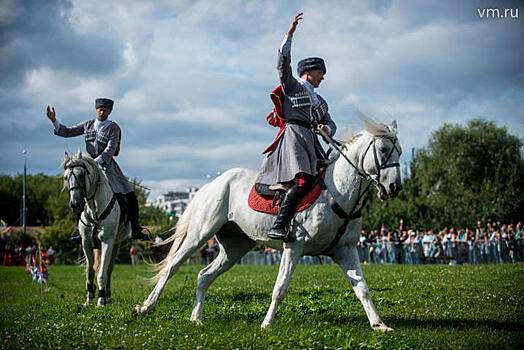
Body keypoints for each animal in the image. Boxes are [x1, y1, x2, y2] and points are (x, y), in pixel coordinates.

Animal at [62, 152, 132, 304]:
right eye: (65, 177)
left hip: (115, 245)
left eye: (81, 175)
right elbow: (90, 271)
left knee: (108, 269)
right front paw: (88, 298)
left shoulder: (107, 243)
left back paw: (107, 295)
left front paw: (100, 300)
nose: (75, 204)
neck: (95, 211)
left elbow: (102, 272)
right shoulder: (86, 243)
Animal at [132, 117, 402, 330]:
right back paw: (146, 307)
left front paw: (379, 324)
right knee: (172, 267)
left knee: (204, 276)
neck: (337, 194)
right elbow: (280, 288)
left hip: (235, 248)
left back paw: (196, 318)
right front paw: (267, 324)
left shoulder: (345, 250)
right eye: (383, 148)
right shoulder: (294, 247)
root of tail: (211, 184)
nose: (394, 188)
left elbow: (362, 288)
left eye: (399, 151)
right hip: (200, 234)